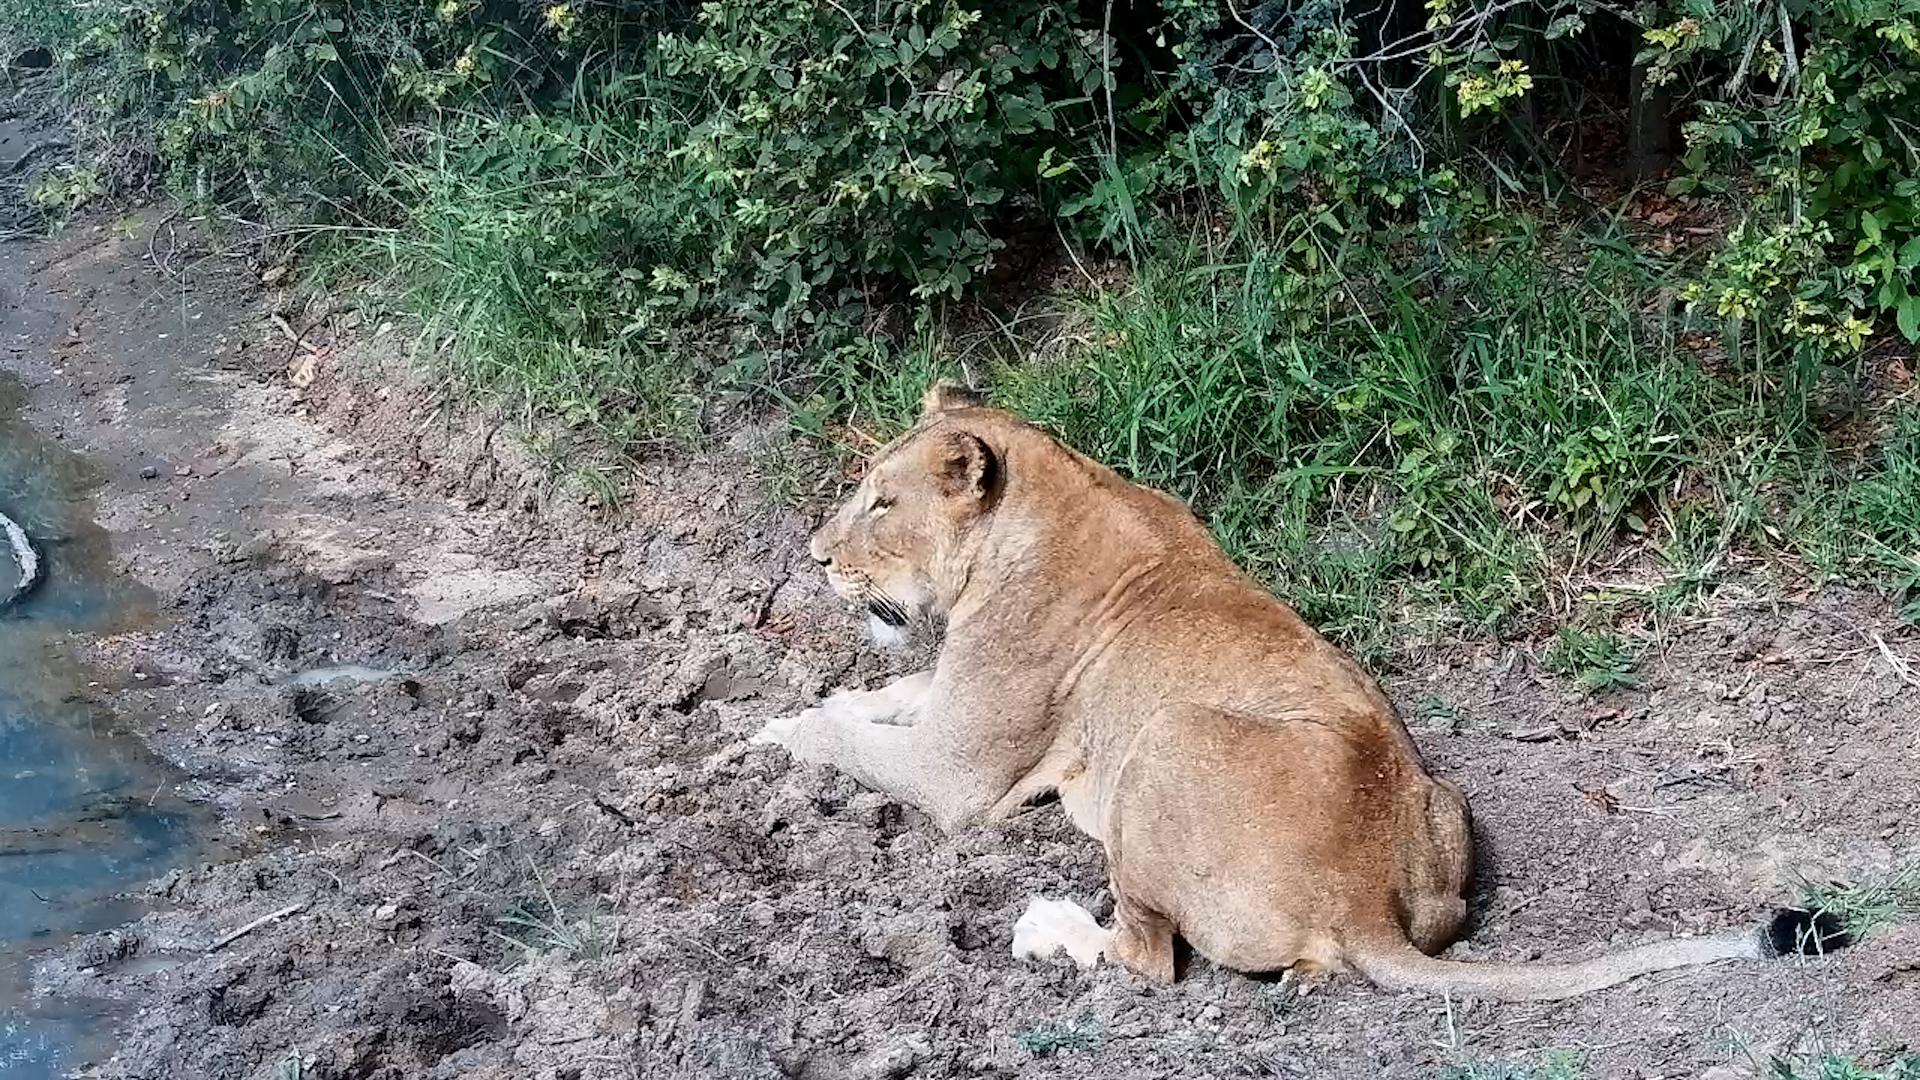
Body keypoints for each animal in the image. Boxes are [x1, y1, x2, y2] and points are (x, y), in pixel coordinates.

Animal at [752, 383, 1842, 1000]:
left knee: (1148, 957)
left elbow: (845, 740)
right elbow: (884, 698)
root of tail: (1360, 899)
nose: (812, 557)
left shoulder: (960, 775)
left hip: (1162, 740)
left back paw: (1047, 931)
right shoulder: (946, 711)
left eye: (880, 504)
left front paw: (770, 734)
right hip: (1444, 811)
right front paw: (821, 706)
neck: (1050, 494)